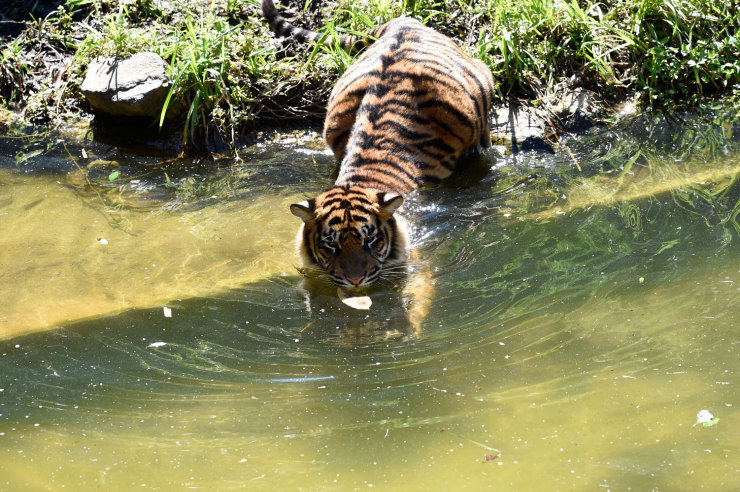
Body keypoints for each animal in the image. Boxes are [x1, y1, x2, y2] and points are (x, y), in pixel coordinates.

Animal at [260, 0, 492, 292]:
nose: (355, 280)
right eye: (331, 245)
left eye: (370, 241)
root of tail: (404, 22)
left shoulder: (416, 263)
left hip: (482, 84)